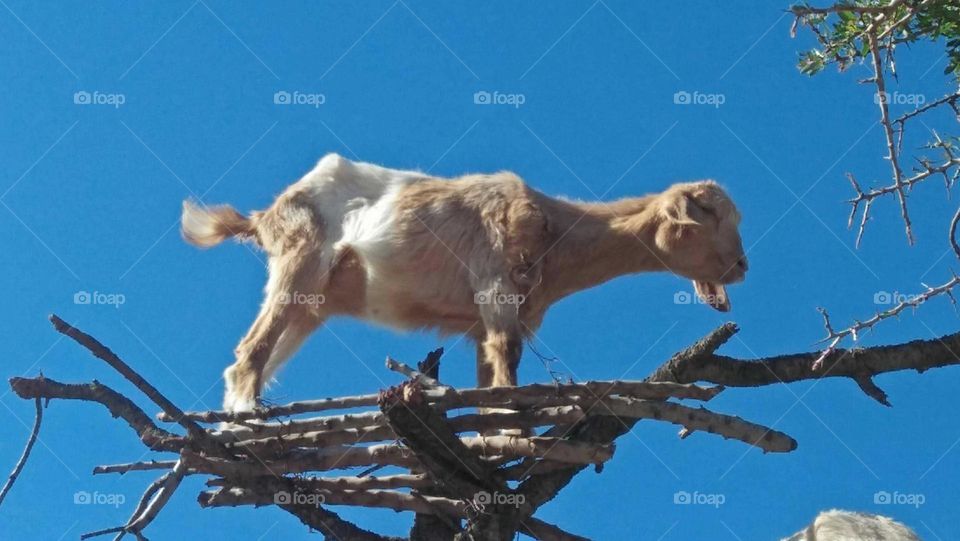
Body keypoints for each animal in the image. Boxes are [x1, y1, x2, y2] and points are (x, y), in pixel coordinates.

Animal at [181, 153, 748, 412]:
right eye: (710, 214)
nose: (743, 266)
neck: (553, 229)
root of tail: (265, 214)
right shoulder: (496, 290)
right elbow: (509, 364)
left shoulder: (481, 323)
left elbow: (488, 380)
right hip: (300, 262)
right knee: (249, 350)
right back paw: (248, 414)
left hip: (312, 304)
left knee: (249, 358)